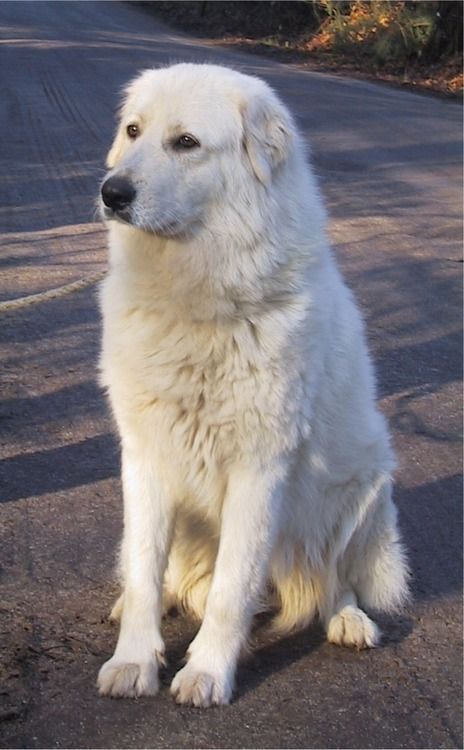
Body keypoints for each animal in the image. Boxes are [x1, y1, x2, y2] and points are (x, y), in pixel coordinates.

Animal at [96, 61, 408, 708]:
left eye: (186, 142)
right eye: (134, 131)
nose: (112, 192)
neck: (199, 299)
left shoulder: (260, 469)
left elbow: (230, 591)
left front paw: (208, 674)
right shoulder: (145, 456)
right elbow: (143, 571)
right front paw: (134, 660)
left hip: (363, 487)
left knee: (331, 578)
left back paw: (348, 619)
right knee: (163, 574)